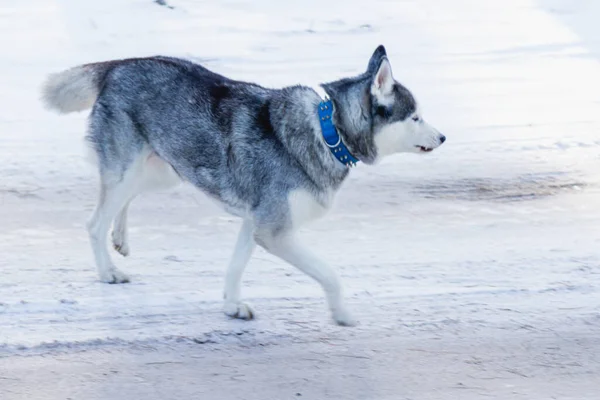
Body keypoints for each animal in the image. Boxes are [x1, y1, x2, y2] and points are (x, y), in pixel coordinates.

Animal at [43, 45, 446, 326]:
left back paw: (121, 237)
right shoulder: (274, 230)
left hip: (164, 172)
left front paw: (232, 305)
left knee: (122, 201)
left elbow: (235, 267)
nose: (443, 137)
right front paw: (342, 313)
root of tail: (118, 65)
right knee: (95, 221)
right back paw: (107, 270)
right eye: (415, 117)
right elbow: (329, 274)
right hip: (134, 170)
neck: (328, 131)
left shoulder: (255, 223)